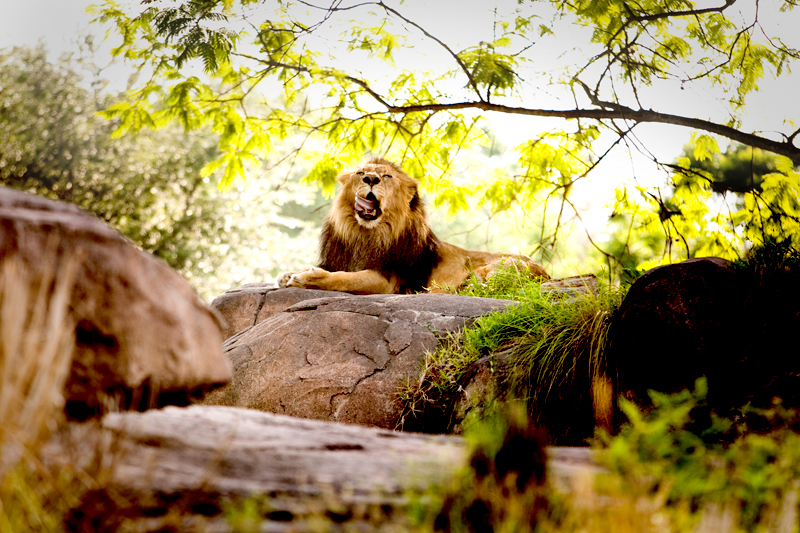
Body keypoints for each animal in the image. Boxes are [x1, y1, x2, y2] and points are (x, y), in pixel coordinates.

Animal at [276, 158, 552, 294]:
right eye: (360, 173)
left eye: (386, 176)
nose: (371, 179)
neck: (364, 234)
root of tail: (547, 273)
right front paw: (289, 273)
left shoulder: (388, 280)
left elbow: (344, 279)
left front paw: (306, 278)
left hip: (494, 268)